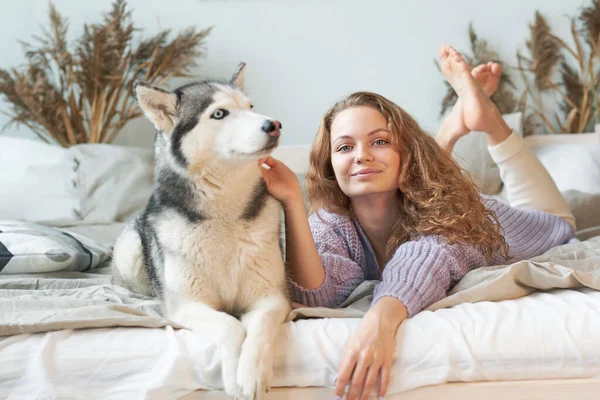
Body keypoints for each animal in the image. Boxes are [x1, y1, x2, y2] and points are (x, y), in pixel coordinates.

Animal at [113, 64, 292, 398]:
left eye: (250, 107)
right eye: (219, 114)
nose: (273, 124)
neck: (223, 218)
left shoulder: (271, 297)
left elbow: (259, 328)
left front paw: (252, 373)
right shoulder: (186, 306)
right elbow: (230, 325)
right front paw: (234, 376)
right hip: (131, 249)